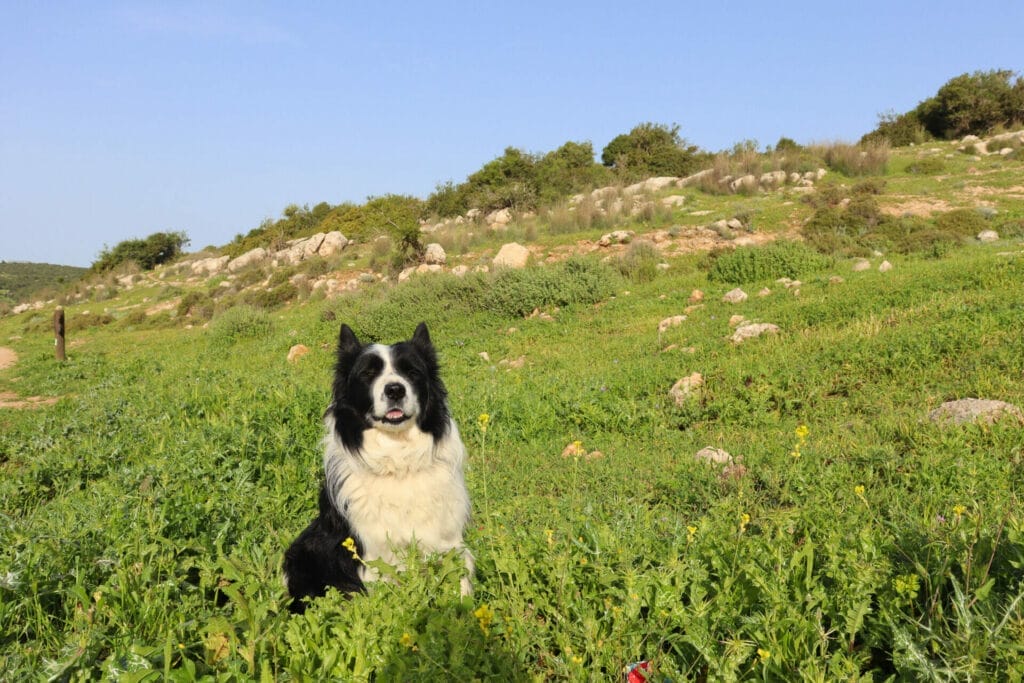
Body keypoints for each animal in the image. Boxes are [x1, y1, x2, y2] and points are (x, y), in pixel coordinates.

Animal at [284, 321, 475, 614]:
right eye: (368, 374)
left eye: (412, 372)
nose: (395, 389)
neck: (397, 460)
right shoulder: (372, 554)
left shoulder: (449, 538)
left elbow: (459, 577)